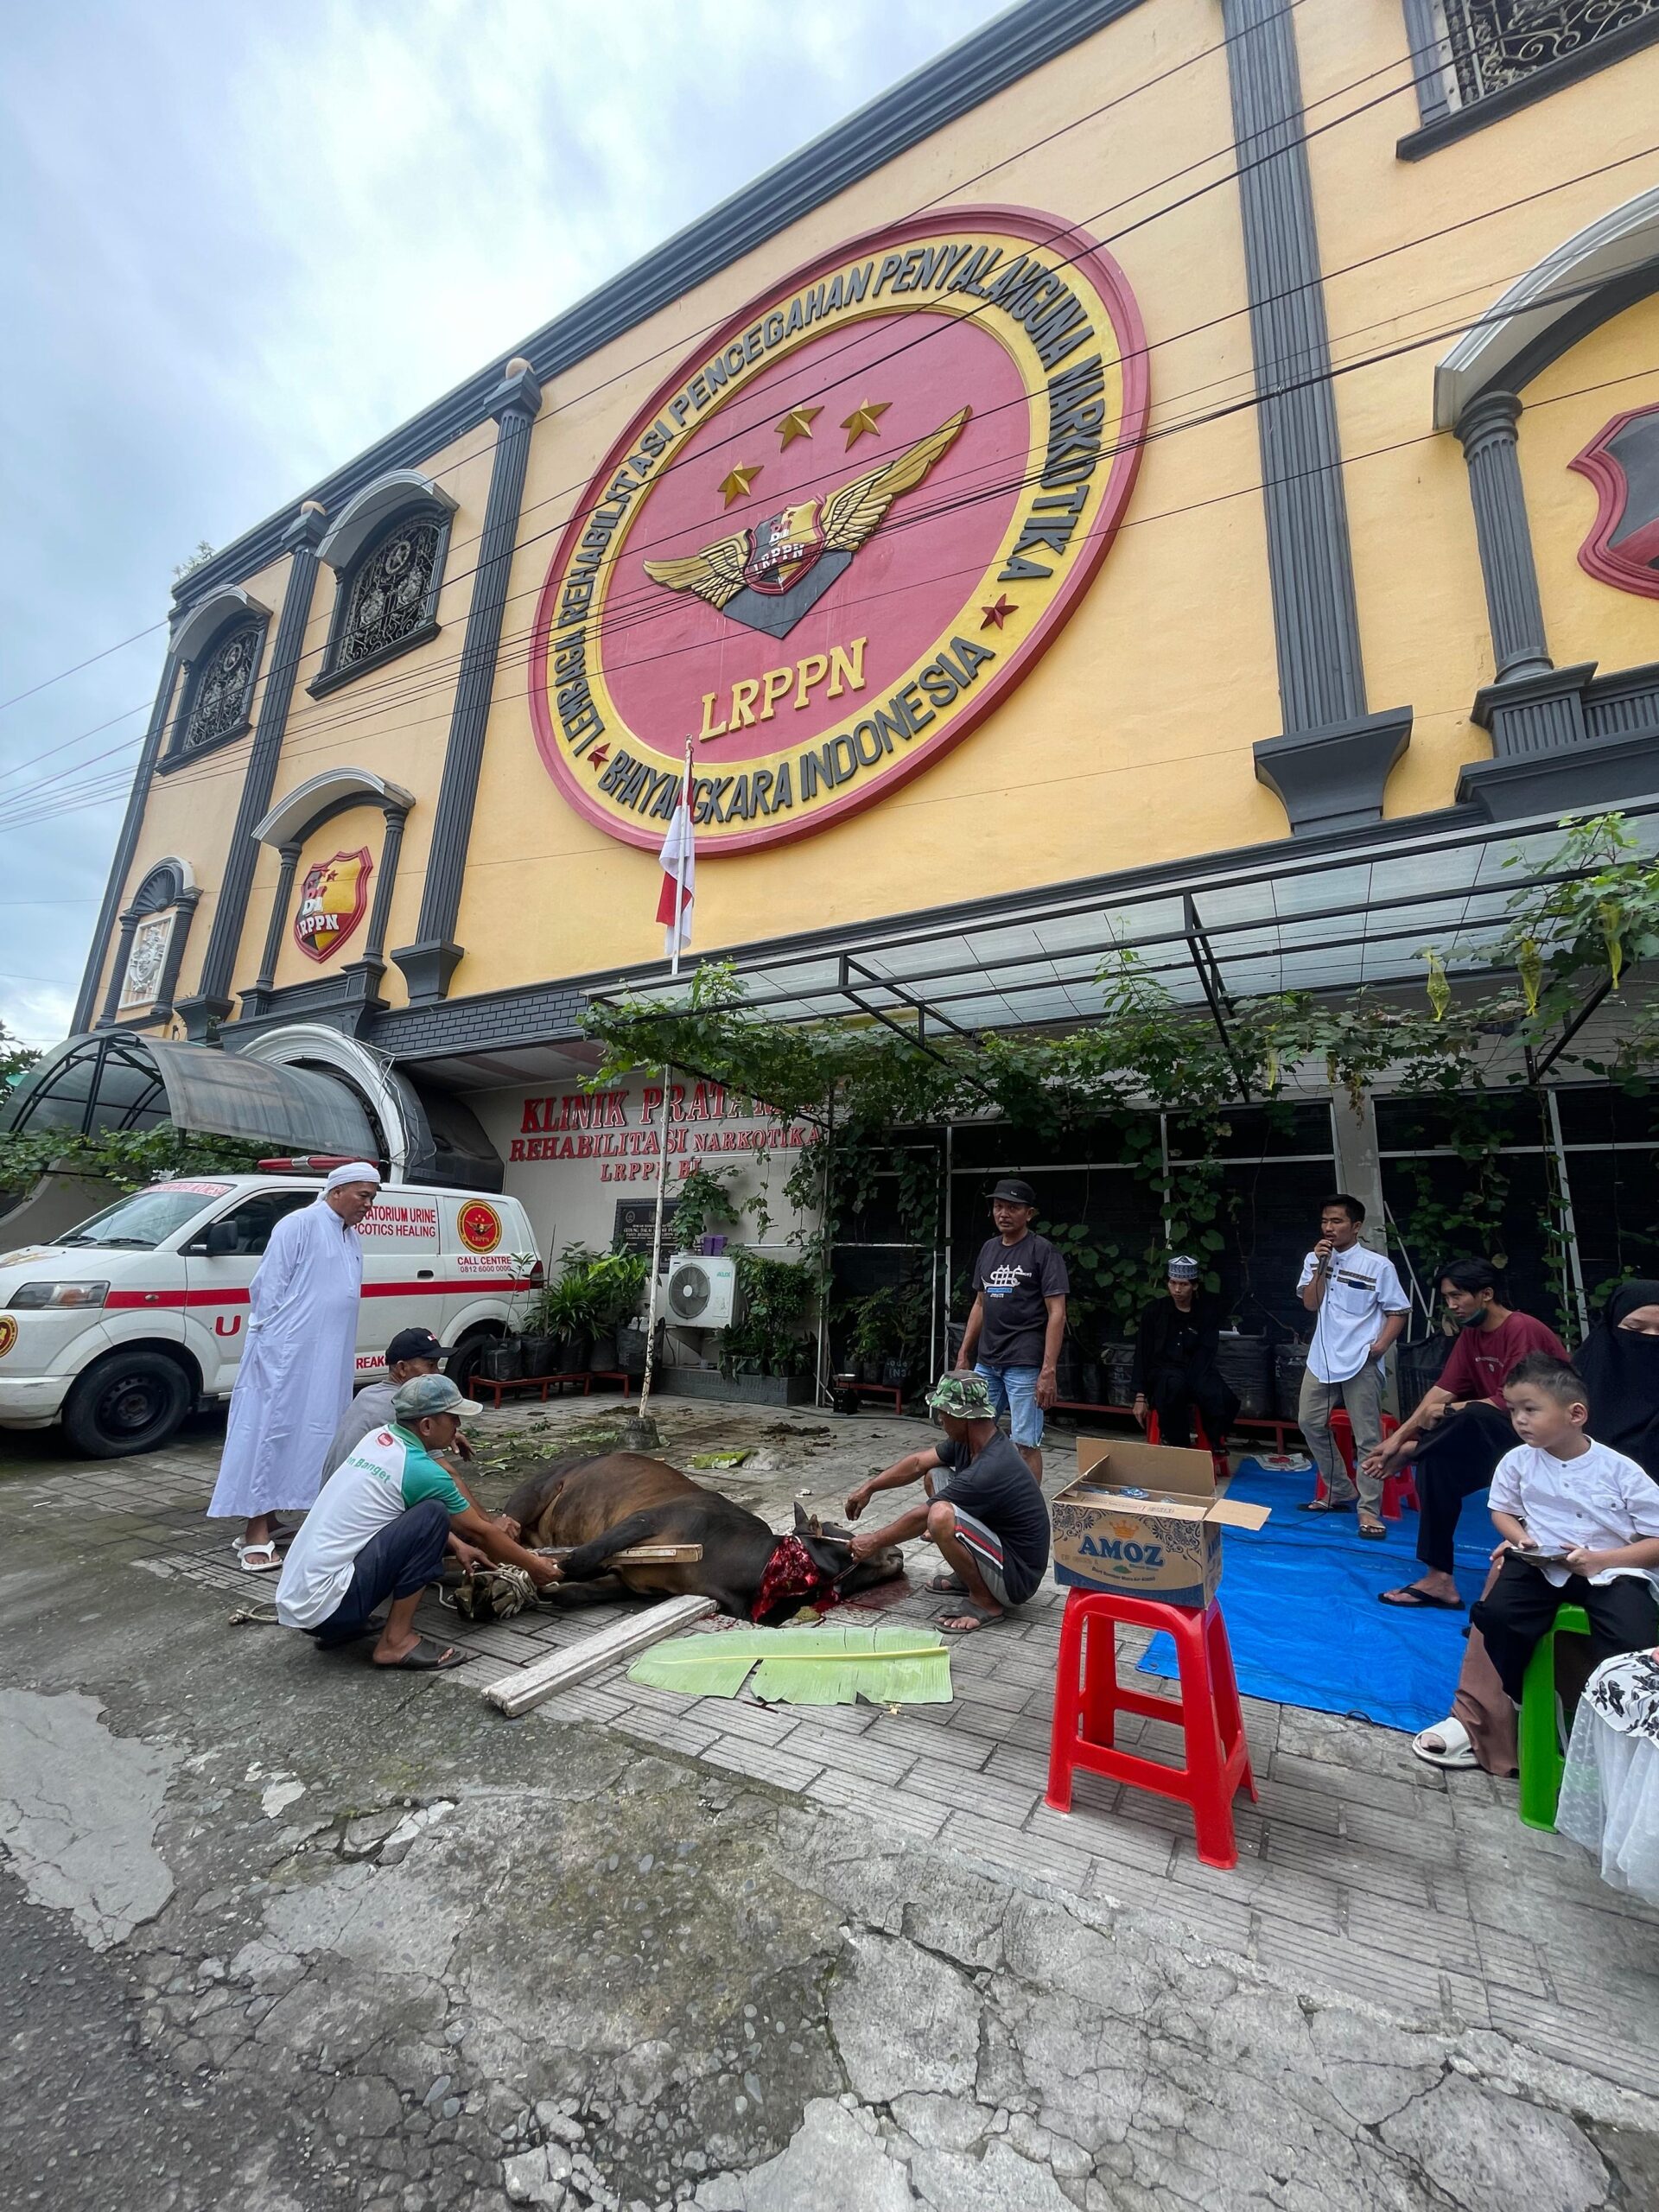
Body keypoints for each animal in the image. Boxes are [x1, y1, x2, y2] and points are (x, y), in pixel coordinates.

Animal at [504, 1451, 911, 1628]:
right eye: (851, 1539)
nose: (899, 1552)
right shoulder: (644, 1520)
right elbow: (584, 1557)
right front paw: (551, 1569)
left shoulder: (634, 1583)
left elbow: (577, 1592)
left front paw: (552, 1589)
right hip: (534, 1493)